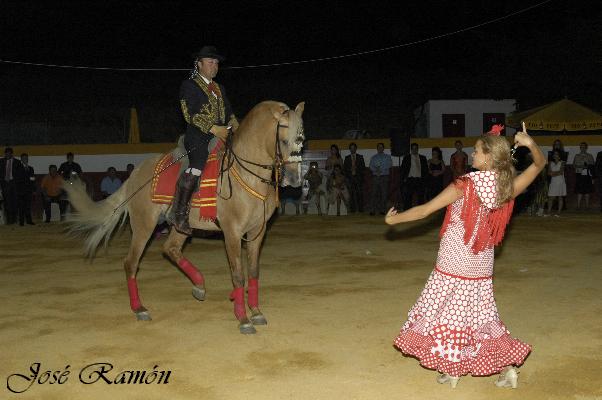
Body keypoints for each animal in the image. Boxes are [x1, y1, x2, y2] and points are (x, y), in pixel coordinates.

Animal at [64, 101, 304, 334]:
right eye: (284, 140)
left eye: (301, 140)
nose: (294, 179)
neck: (247, 175)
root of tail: (136, 174)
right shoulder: (232, 233)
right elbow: (238, 274)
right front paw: (243, 319)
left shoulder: (257, 231)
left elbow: (253, 271)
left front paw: (255, 311)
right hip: (144, 225)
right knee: (131, 263)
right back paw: (140, 309)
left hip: (181, 226)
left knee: (170, 248)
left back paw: (199, 286)